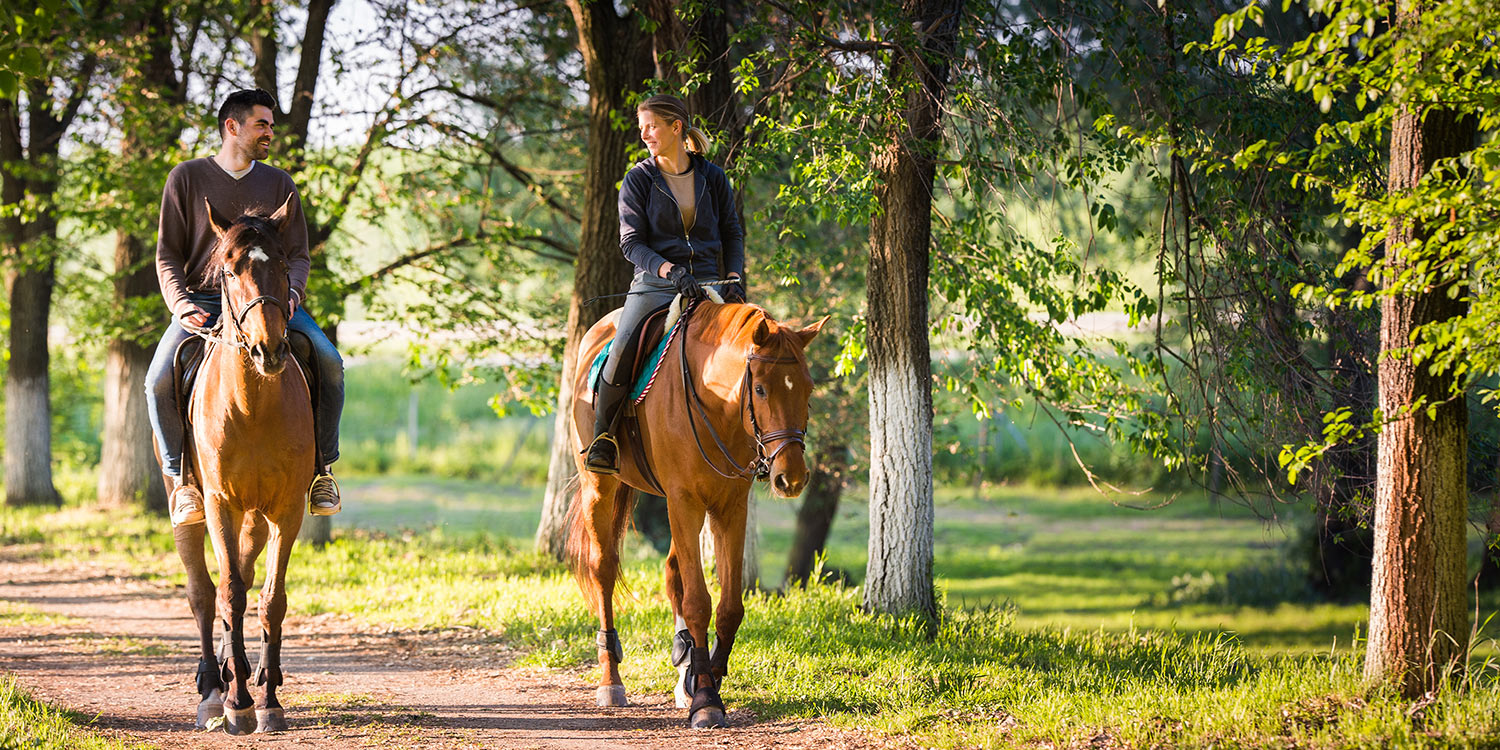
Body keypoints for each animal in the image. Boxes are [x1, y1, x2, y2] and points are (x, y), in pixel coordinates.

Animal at [168, 196, 313, 735]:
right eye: (229, 271)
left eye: (282, 266)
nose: (269, 350)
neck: (252, 405)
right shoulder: (220, 505)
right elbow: (226, 593)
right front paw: (236, 704)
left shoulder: (286, 510)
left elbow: (270, 598)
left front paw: (268, 700)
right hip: (191, 508)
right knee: (203, 592)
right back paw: (213, 686)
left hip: (256, 516)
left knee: (247, 578)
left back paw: (242, 669)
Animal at [564, 298, 828, 726]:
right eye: (760, 388)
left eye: (807, 389)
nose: (791, 478)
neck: (715, 403)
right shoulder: (684, 501)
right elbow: (698, 602)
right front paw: (705, 698)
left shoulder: (729, 508)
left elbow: (728, 607)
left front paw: (706, 679)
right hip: (600, 488)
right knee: (603, 570)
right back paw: (611, 682)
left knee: (673, 574)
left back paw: (683, 670)